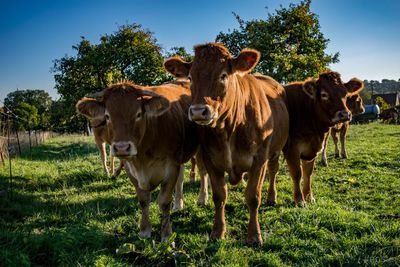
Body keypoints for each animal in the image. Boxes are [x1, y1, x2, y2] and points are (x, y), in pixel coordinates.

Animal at [75, 80, 198, 242]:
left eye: (138, 114)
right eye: (107, 116)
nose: (121, 148)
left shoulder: (172, 166)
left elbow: (164, 201)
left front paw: (166, 235)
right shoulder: (130, 169)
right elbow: (143, 200)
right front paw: (144, 230)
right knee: (181, 179)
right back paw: (178, 203)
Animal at [164, 43, 290, 246]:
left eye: (223, 75)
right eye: (190, 77)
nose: (198, 111)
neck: (230, 127)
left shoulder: (259, 160)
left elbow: (253, 197)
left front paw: (254, 235)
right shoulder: (211, 159)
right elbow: (219, 196)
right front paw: (217, 231)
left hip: (275, 150)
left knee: (273, 171)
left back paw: (271, 197)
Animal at [282, 71, 364, 205]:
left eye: (345, 94)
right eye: (324, 94)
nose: (345, 114)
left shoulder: (311, 149)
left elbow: (308, 173)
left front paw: (309, 196)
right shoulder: (291, 149)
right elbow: (297, 173)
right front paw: (299, 200)